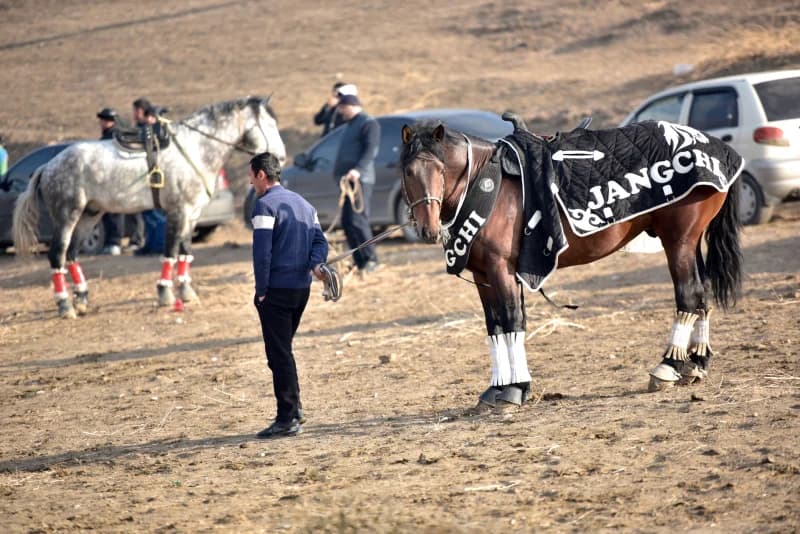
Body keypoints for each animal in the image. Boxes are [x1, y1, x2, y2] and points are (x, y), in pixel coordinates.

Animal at [13, 96, 285, 318]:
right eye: (269, 125)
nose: (281, 158)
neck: (196, 148)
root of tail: (48, 166)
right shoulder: (178, 211)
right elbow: (171, 251)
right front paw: (165, 293)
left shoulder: (192, 214)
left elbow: (185, 251)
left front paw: (186, 291)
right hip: (67, 215)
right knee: (57, 255)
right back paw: (65, 305)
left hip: (89, 215)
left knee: (71, 254)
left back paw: (81, 299)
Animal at [399, 119, 743, 408]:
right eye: (408, 172)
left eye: (440, 170)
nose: (427, 228)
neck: (486, 183)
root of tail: (718, 146)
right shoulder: (484, 276)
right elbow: (494, 327)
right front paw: (497, 387)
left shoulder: (501, 270)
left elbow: (512, 321)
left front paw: (515, 388)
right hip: (690, 242)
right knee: (702, 293)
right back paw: (696, 363)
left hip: (679, 240)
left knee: (688, 293)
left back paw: (668, 366)